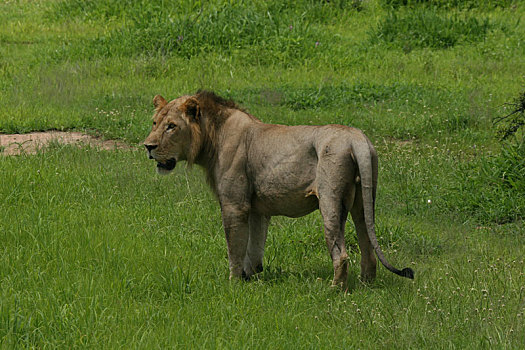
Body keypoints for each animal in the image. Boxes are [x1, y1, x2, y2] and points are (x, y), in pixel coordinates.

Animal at [143, 90, 414, 288]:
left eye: (171, 126)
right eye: (155, 122)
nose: (147, 146)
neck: (212, 138)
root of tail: (357, 138)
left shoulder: (234, 205)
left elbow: (235, 248)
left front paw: (233, 284)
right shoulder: (257, 209)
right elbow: (254, 247)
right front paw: (250, 277)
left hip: (330, 200)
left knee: (342, 253)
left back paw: (334, 290)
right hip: (363, 201)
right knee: (367, 245)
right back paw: (366, 284)